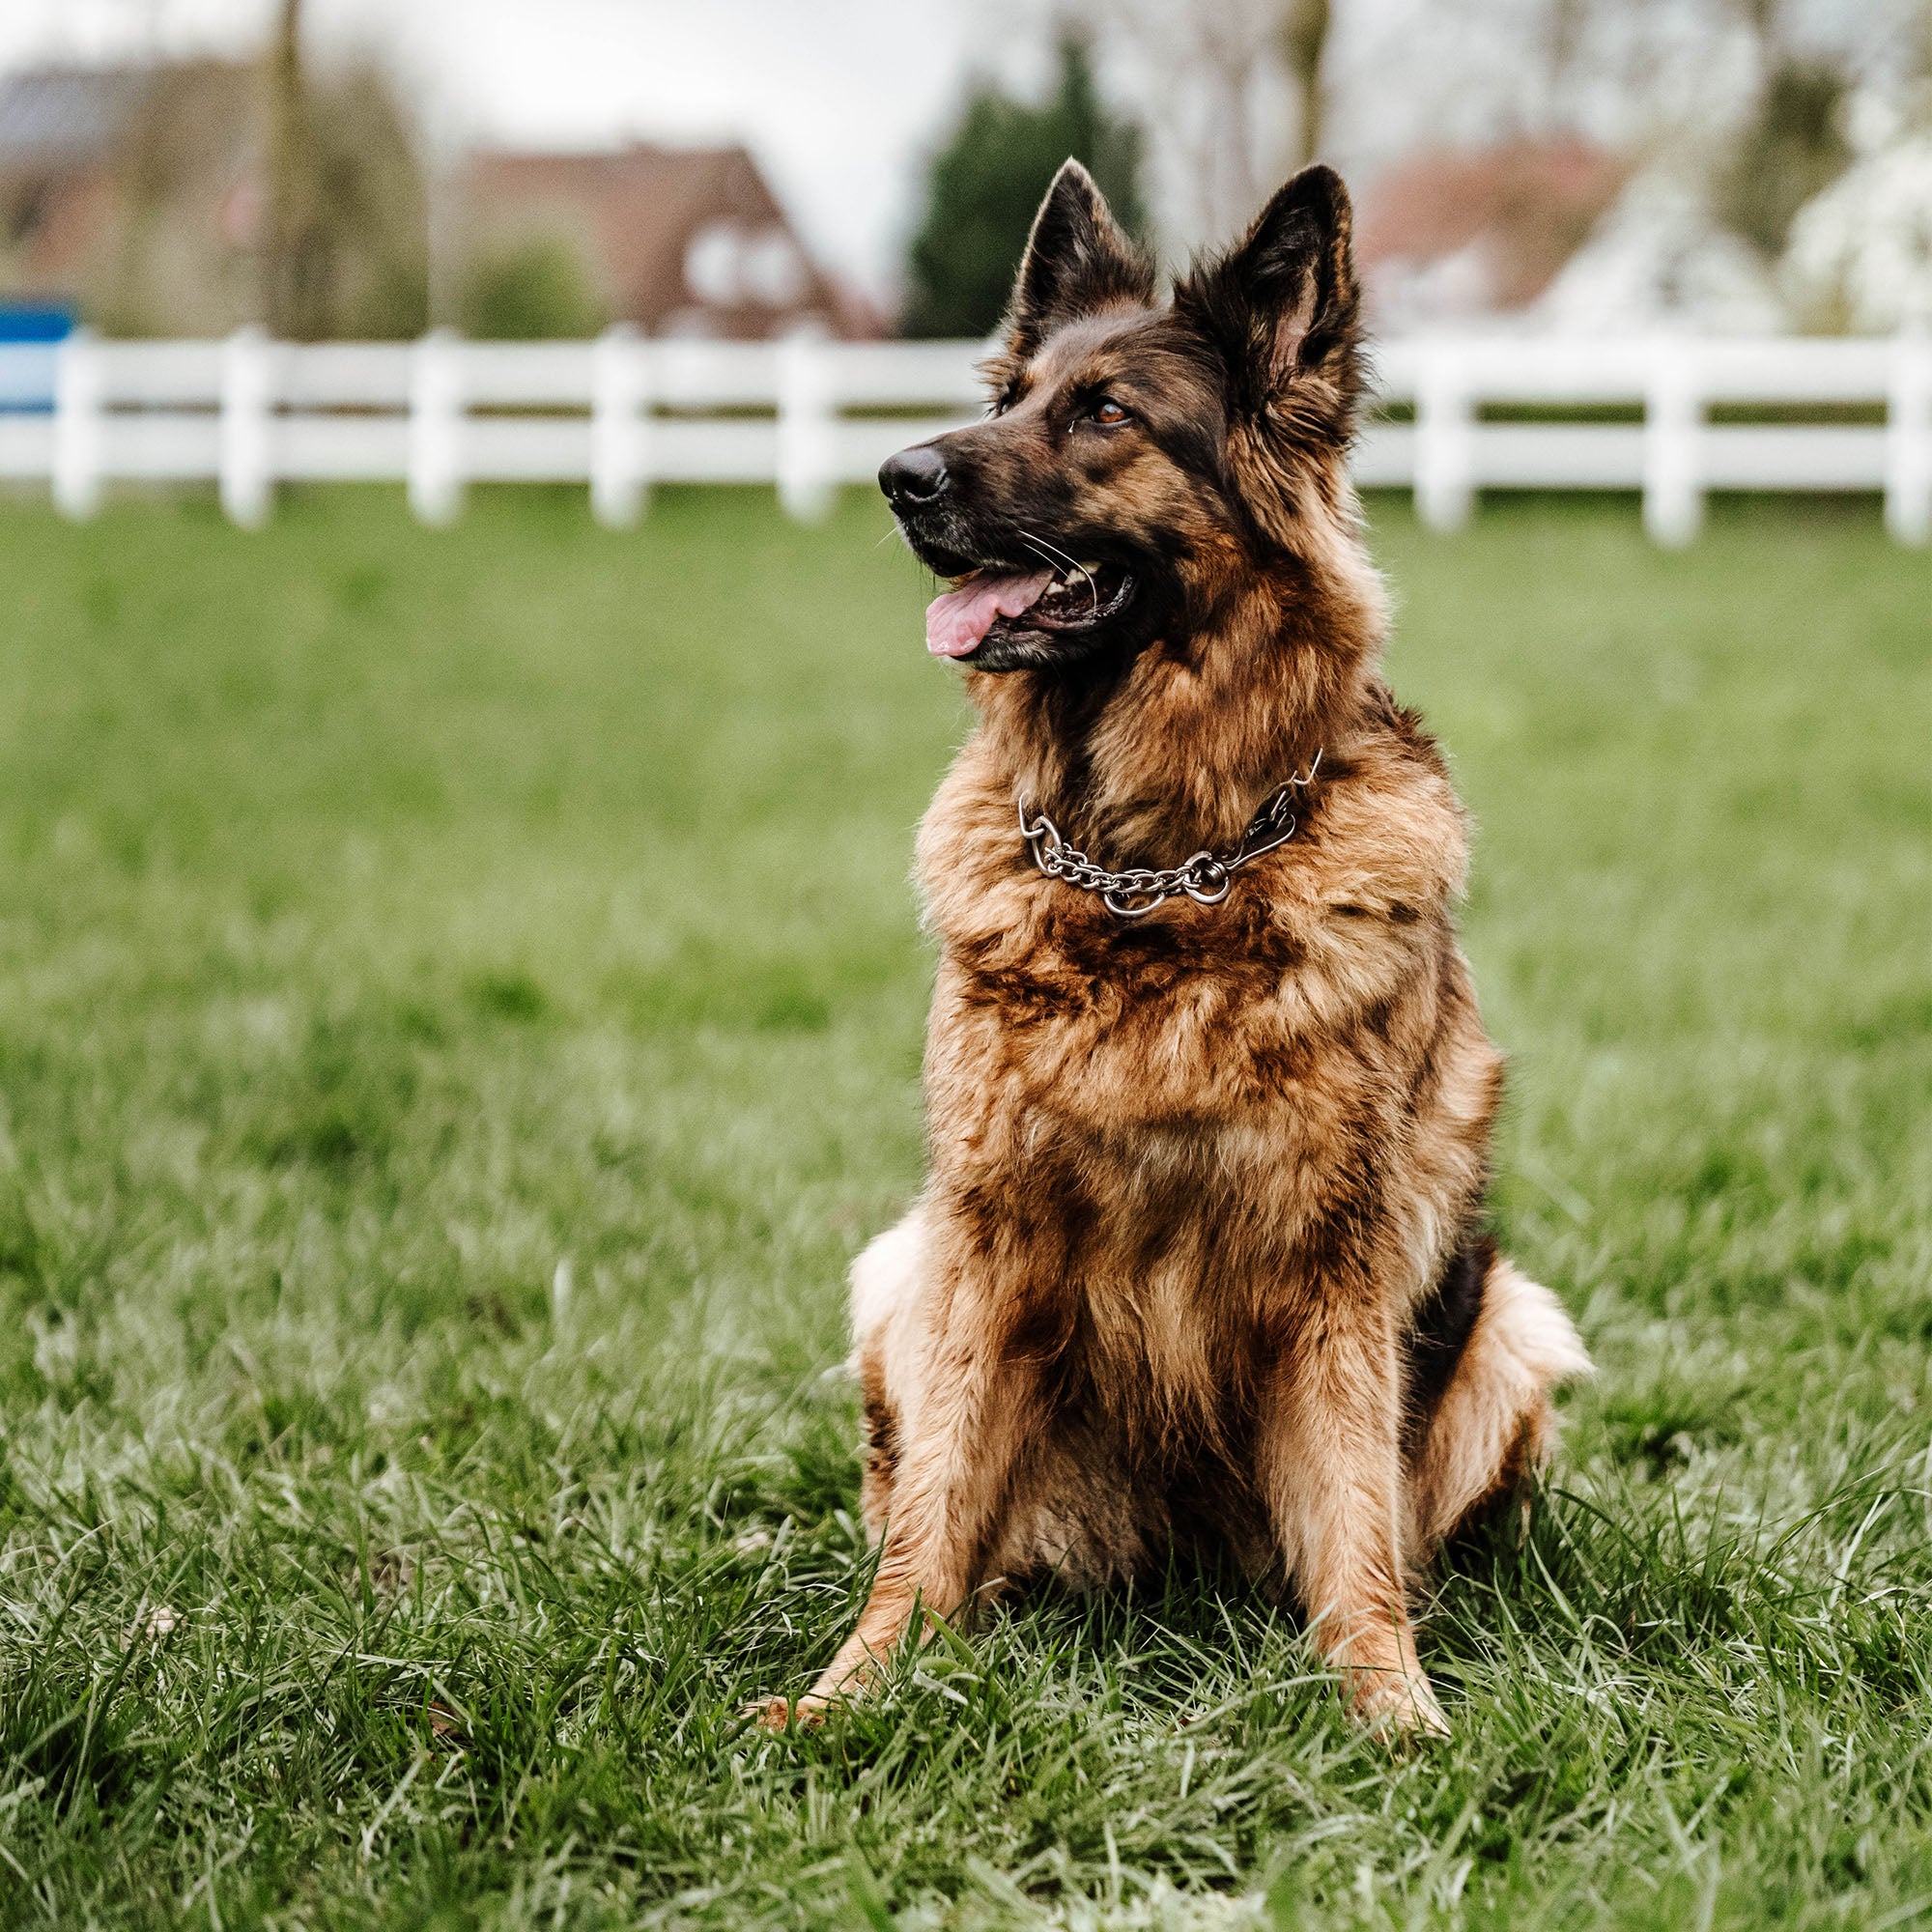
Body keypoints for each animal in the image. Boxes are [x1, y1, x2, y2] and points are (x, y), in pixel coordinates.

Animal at [750, 162, 1584, 1739]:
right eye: (1009, 394)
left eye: (1106, 414)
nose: (898, 476)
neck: (1155, 878)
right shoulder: (988, 1240)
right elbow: (929, 1523)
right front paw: (850, 1694)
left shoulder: (1336, 1271)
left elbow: (1356, 1530)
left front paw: (1391, 1711)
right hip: (901, 1272)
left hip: (1507, 1322)